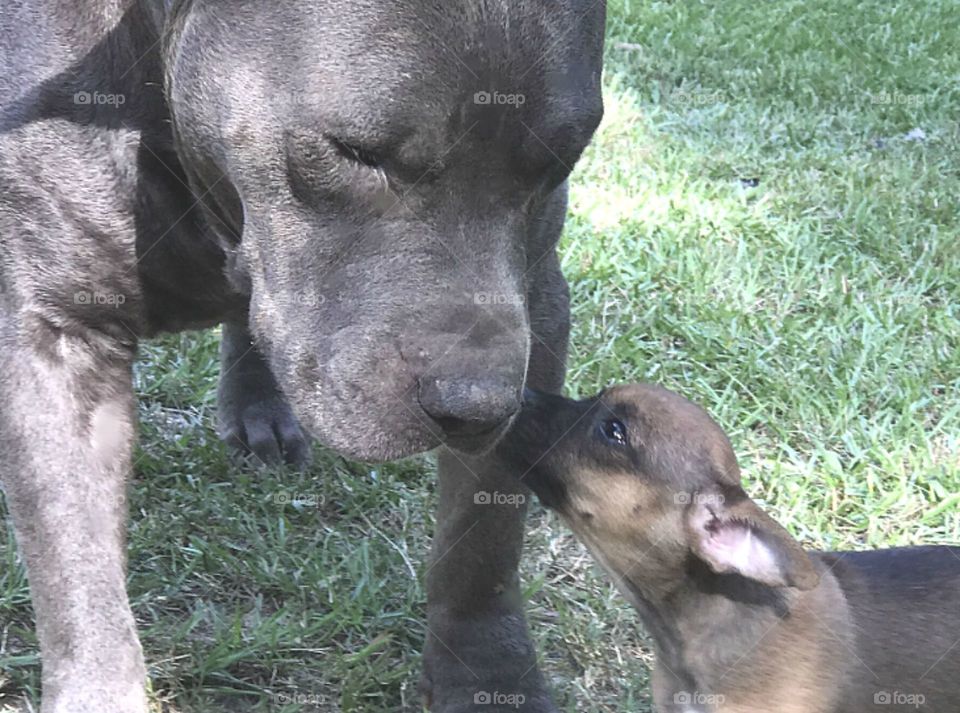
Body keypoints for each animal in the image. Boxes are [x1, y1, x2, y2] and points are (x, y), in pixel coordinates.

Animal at [0, 1, 600, 712]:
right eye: (355, 153)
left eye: (563, 162)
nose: (477, 409)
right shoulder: (56, 342)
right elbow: (77, 564)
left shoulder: (535, 303)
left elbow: (483, 536)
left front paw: (488, 679)